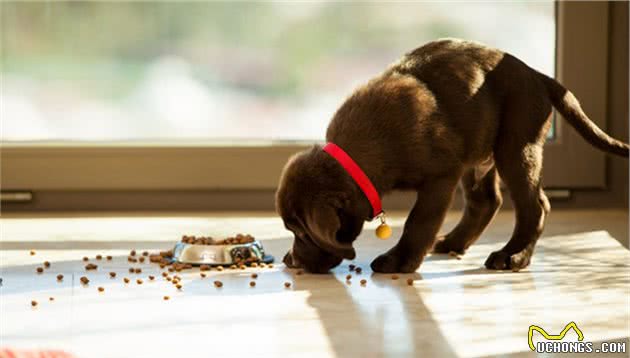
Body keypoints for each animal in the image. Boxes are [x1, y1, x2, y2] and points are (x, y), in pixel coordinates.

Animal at [278, 39, 630, 272]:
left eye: (302, 232)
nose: (293, 261)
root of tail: (538, 75)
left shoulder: (440, 177)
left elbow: (418, 221)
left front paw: (399, 260)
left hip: (516, 147)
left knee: (535, 206)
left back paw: (513, 257)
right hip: (479, 155)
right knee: (486, 202)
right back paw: (453, 243)